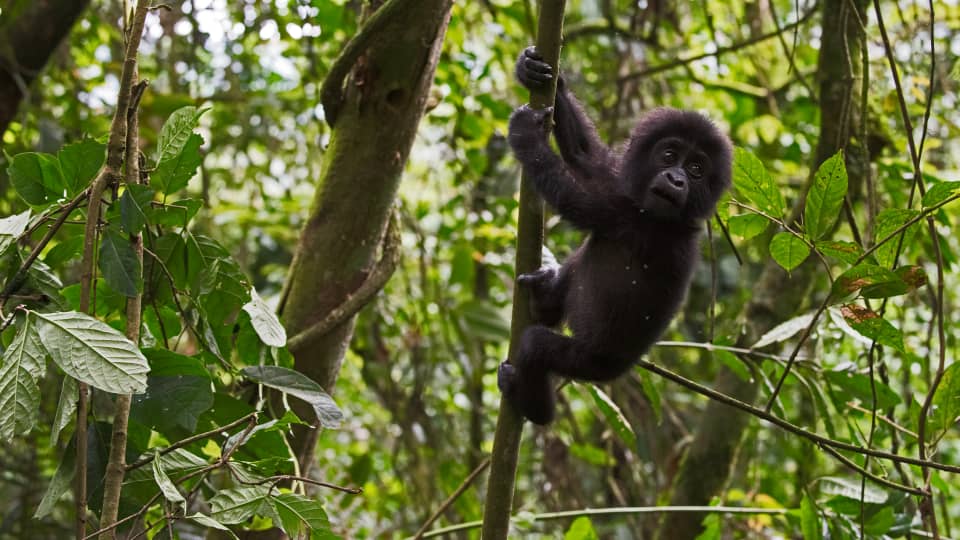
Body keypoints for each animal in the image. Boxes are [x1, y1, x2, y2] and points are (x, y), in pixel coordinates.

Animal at [498, 46, 732, 426]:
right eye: (669, 155)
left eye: (697, 169)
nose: (677, 179)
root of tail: (619, 371)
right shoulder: (621, 187)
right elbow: (585, 156)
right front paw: (534, 69)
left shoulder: (632, 222)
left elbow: (575, 198)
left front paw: (524, 135)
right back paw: (543, 297)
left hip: (587, 361)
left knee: (537, 346)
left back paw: (531, 406)